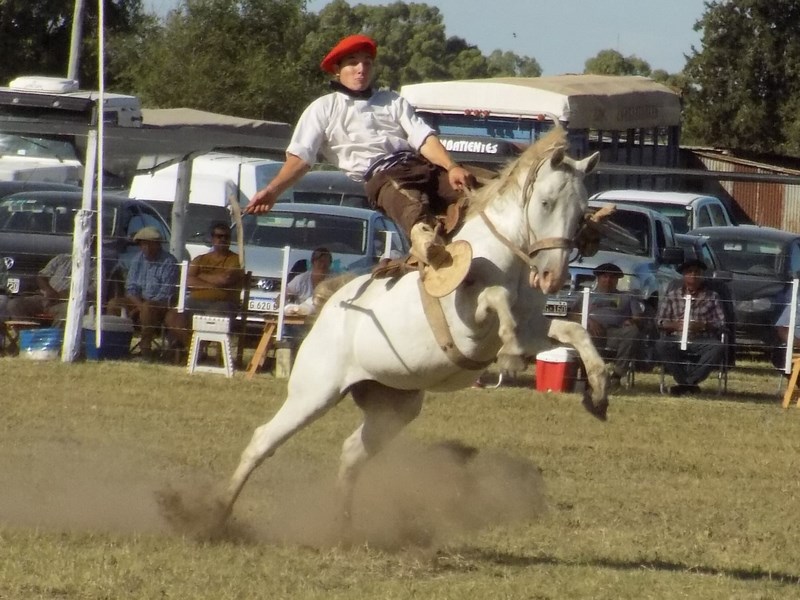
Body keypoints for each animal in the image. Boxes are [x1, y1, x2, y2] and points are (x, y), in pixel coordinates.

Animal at [216, 129, 604, 528]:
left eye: (580, 212)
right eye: (546, 202)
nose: (553, 276)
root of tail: (328, 310)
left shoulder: (530, 328)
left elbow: (574, 332)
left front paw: (598, 393)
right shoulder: (467, 324)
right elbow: (494, 298)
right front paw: (511, 358)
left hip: (393, 406)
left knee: (352, 452)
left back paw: (342, 525)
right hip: (313, 394)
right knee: (263, 441)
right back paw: (217, 515)